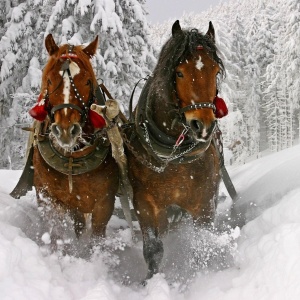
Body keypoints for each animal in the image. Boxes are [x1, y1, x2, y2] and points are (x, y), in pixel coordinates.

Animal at [28, 34, 120, 243]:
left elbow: (97, 238)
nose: (65, 130)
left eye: (87, 81)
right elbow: (56, 234)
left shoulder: (104, 203)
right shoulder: (47, 196)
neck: (72, 158)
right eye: (50, 80)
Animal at [122, 20, 225, 278]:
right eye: (179, 73)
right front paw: (151, 280)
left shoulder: (205, 203)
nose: (203, 125)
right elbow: (153, 249)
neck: (174, 157)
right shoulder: (145, 204)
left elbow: (202, 244)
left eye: (215, 72)